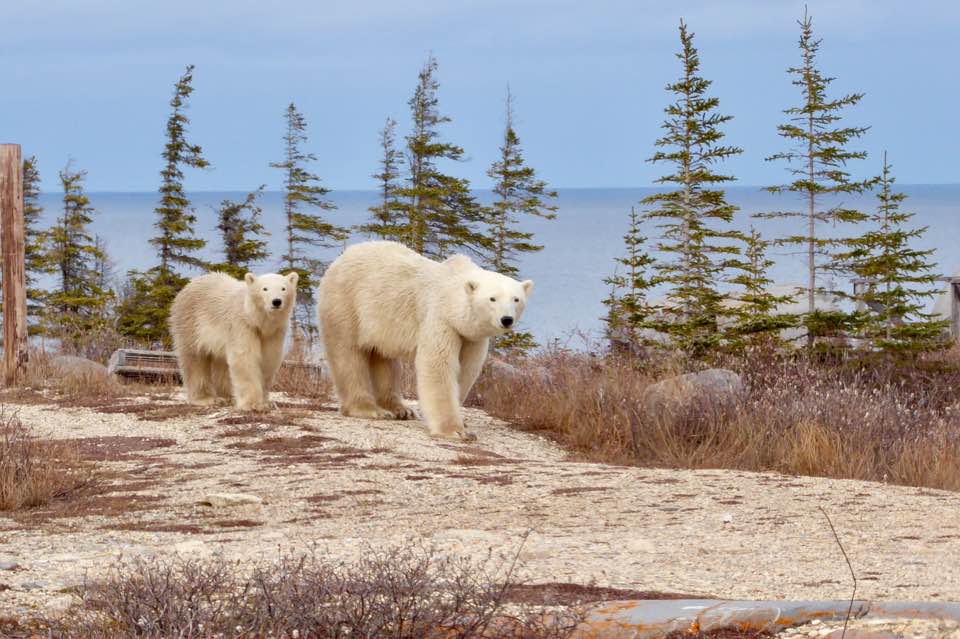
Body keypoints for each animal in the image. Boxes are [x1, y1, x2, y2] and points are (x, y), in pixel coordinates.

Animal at [170, 271, 298, 411]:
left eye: (283, 288)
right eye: (265, 288)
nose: (276, 301)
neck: (257, 319)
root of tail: (189, 284)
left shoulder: (274, 332)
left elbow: (268, 360)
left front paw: (264, 403)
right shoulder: (242, 323)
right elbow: (244, 357)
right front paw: (251, 404)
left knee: (220, 362)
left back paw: (226, 397)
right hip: (191, 322)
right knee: (195, 358)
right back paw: (203, 398)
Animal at [317, 240, 533, 440]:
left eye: (516, 299)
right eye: (492, 298)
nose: (506, 319)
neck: (452, 297)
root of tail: (343, 256)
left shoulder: (471, 337)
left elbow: (466, 371)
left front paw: (461, 420)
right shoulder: (440, 319)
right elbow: (438, 366)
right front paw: (455, 431)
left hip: (381, 322)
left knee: (383, 357)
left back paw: (401, 409)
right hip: (347, 303)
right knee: (348, 354)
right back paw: (370, 409)